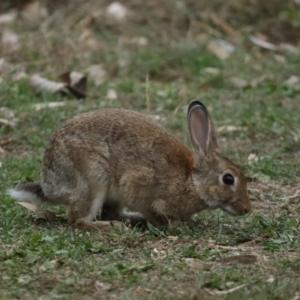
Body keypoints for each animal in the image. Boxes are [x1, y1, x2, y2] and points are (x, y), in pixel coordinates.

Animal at [8, 101, 251, 230]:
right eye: (228, 179)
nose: (247, 209)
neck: (192, 181)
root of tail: (50, 186)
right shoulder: (140, 187)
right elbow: (157, 211)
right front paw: (179, 224)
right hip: (93, 180)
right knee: (78, 220)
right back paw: (108, 227)